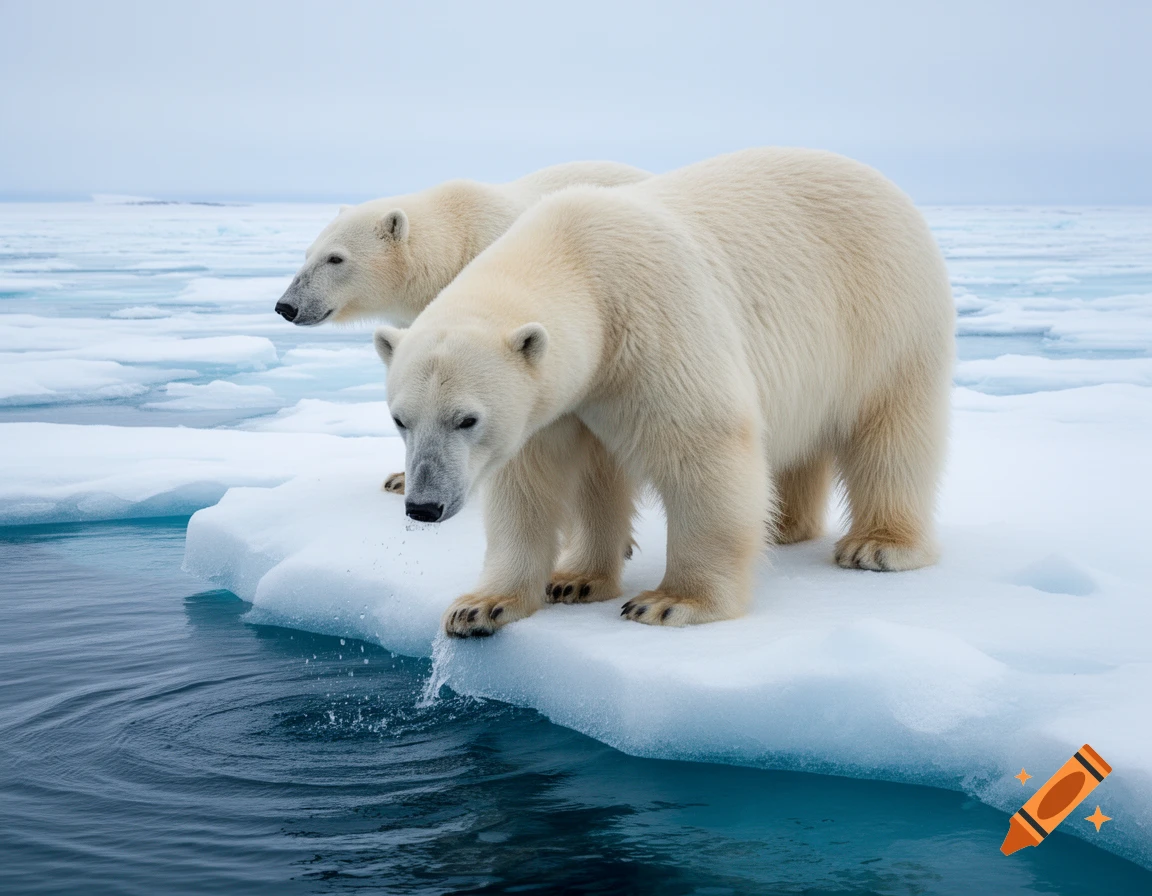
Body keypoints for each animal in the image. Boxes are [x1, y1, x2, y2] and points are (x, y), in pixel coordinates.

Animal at [373, 147, 955, 637]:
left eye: (466, 419)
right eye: (401, 419)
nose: (423, 506)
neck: (578, 262)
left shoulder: (654, 324)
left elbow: (702, 449)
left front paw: (671, 601)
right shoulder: (567, 398)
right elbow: (541, 486)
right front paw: (500, 601)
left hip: (886, 316)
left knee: (892, 432)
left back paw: (877, 546)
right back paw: (783, 526)